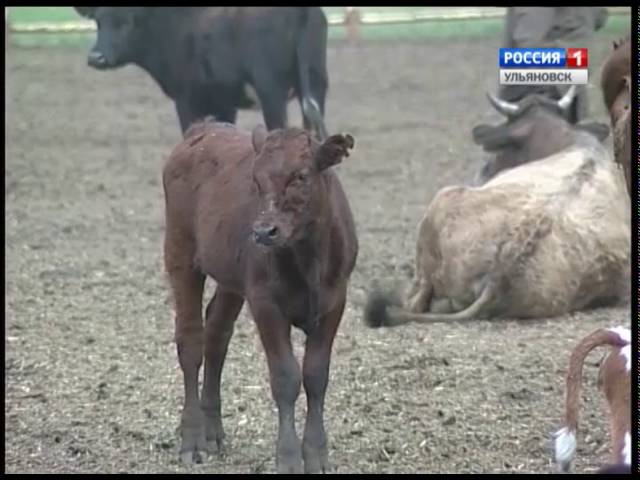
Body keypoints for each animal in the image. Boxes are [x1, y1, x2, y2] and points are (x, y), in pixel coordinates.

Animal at [75, 7, 330, 139]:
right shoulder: (224, 102)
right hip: (315, 83)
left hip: (271, 93)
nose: (96, 57)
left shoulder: (186, 98)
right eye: (98, 21)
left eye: (127, 21)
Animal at [162, 119, 358, 472]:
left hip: (231, 277)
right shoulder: (265, 303)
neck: (307, 258)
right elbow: (286, 378)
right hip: (179, 253)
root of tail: (204, 128)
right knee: (191, 342)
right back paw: (193, 438)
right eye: (255, 179)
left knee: (217, 334)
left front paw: (316, 453)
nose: (264, 232)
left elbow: (315, 374)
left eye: (301, 176)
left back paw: (213, 431)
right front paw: (289, 457)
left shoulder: (335, 301)